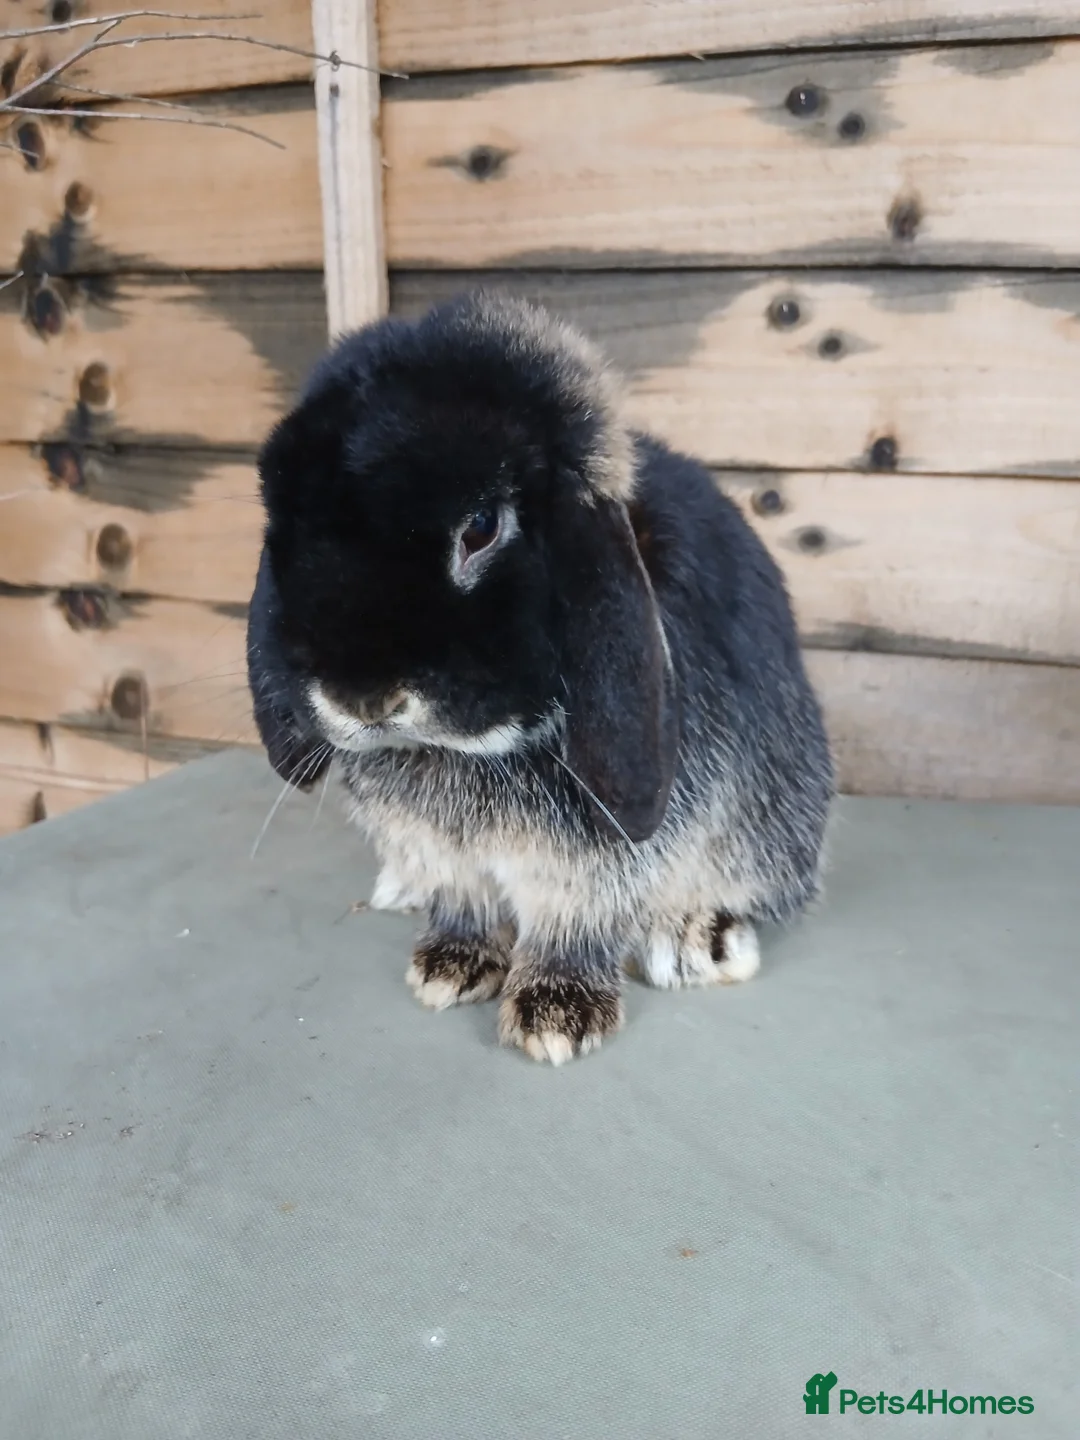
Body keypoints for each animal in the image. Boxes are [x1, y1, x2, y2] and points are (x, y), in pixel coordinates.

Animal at [247, 291, 834, 1064]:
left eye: (481, 529)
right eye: (284, 527)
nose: (361, 697)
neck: (463, 754)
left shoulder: (597, 862)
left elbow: (575, 917)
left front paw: (556, 1014)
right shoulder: (444, 851)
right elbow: (460, 899)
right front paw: (449, 966)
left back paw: (694, 941)